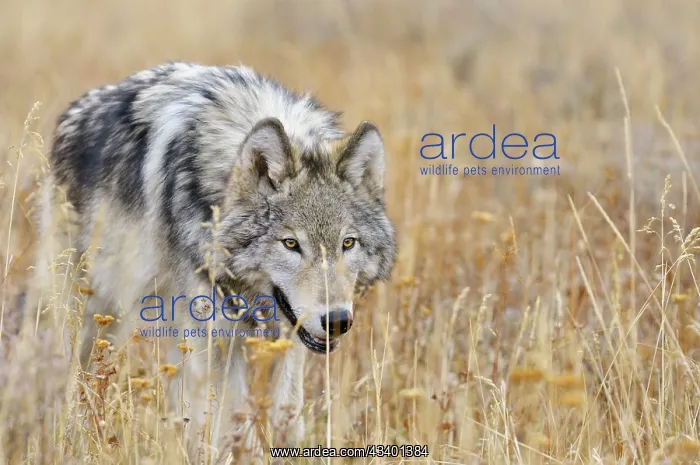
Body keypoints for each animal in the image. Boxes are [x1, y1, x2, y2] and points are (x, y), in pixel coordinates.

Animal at [34, 62, 396, 454]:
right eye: (290, 243)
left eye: (348, 243)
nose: (338, 321)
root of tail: (75, 110)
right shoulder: (217, 339)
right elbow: (231, 428)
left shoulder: (287, 339)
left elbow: (286, 415)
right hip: (95, 314)